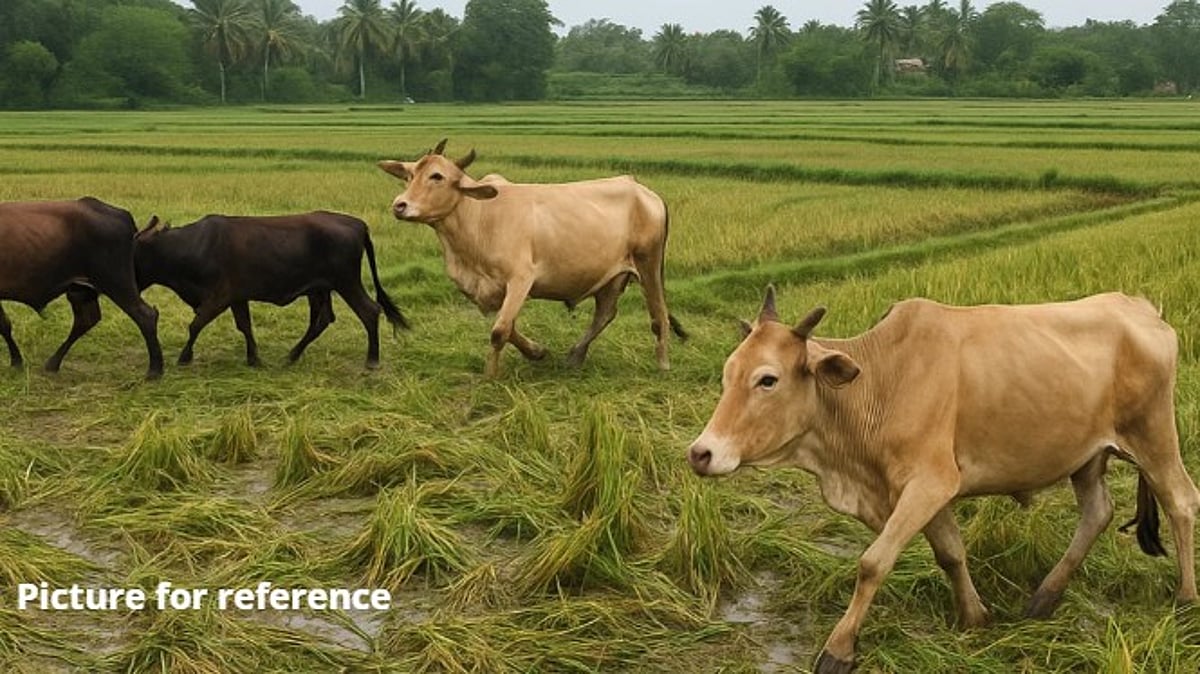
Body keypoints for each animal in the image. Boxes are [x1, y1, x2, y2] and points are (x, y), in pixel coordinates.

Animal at [0, 197, 163, 378]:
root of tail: (120, 214)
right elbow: (4, 325)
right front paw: (16, 361)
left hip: (116, 282)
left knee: (145, 316)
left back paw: (155, 370)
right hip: (81, 289)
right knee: (86, 320)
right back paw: (53, 363)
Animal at [134, 211, 408, 368]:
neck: (191, 246)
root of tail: (358, 224)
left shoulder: (219, 297)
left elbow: (195, 325)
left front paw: (184, 357)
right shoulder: (237, 297)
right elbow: (244, 326)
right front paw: (253, 358)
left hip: (347, 282)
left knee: (369, 311)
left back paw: (372, 359)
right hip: (319, 289)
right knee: (322, 320)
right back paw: (292, 355)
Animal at [377, 139, 686, 377]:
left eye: (437, 176)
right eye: (409, 176)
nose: (399, 205)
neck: (478, 218)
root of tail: (644, 191)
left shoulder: (521, 278)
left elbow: (499, 331)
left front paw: (490, 377)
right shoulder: (485, 290)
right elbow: (509, 327)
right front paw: (537, 352)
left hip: (648, 263)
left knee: (658, 314)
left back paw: (663, 364)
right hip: (611, 276)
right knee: (605, 313)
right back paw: (575, 355)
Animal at [687, 287, 1200, 673]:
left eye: (767, 379)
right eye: (728, 373)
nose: (700, 453)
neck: (879, 384)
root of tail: (1141, 306)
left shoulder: (929, 483)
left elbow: (873, 563)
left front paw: (839, 650)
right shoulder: (925, 491)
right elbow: (950, 552)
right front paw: (974, 617)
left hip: (1154, 435)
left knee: (1180, 500)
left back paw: (1186, 599)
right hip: (1086, 455)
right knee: (1097, 513)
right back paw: (1044, 599)